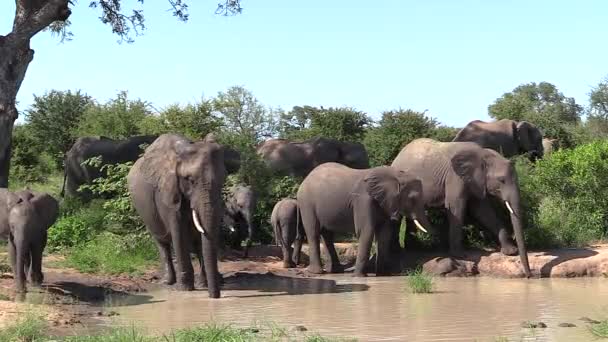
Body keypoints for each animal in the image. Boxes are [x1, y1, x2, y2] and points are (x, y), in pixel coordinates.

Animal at [127, 132, 240, 298]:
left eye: (223, 179)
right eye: (190, 180)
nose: (215, 297)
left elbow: (200, 237)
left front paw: (202, 285)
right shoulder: (167, 192)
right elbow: (178, 232)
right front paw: (185, 289)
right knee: (162, 242)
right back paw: (168, 282)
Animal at [296, 162, 430, 276]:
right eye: (412, 199)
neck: (396, 175)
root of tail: (306, 178)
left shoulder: (385, 202)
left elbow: (384, 234)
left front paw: (382, 275)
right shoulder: (363, 199)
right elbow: (366, 231)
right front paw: (359, 276)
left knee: (327, 234)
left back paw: (335, 271)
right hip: (306, 202)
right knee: (313, 232)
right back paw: (316, 272)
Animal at [392, 139, 528, 278]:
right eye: (501, 180)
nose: (528, 275)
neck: (483, 154)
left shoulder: (475, 181)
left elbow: (483, 211)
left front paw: (510, 251)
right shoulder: (454, 177)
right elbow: (456, 206)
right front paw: (460, 255)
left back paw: (413, 247)